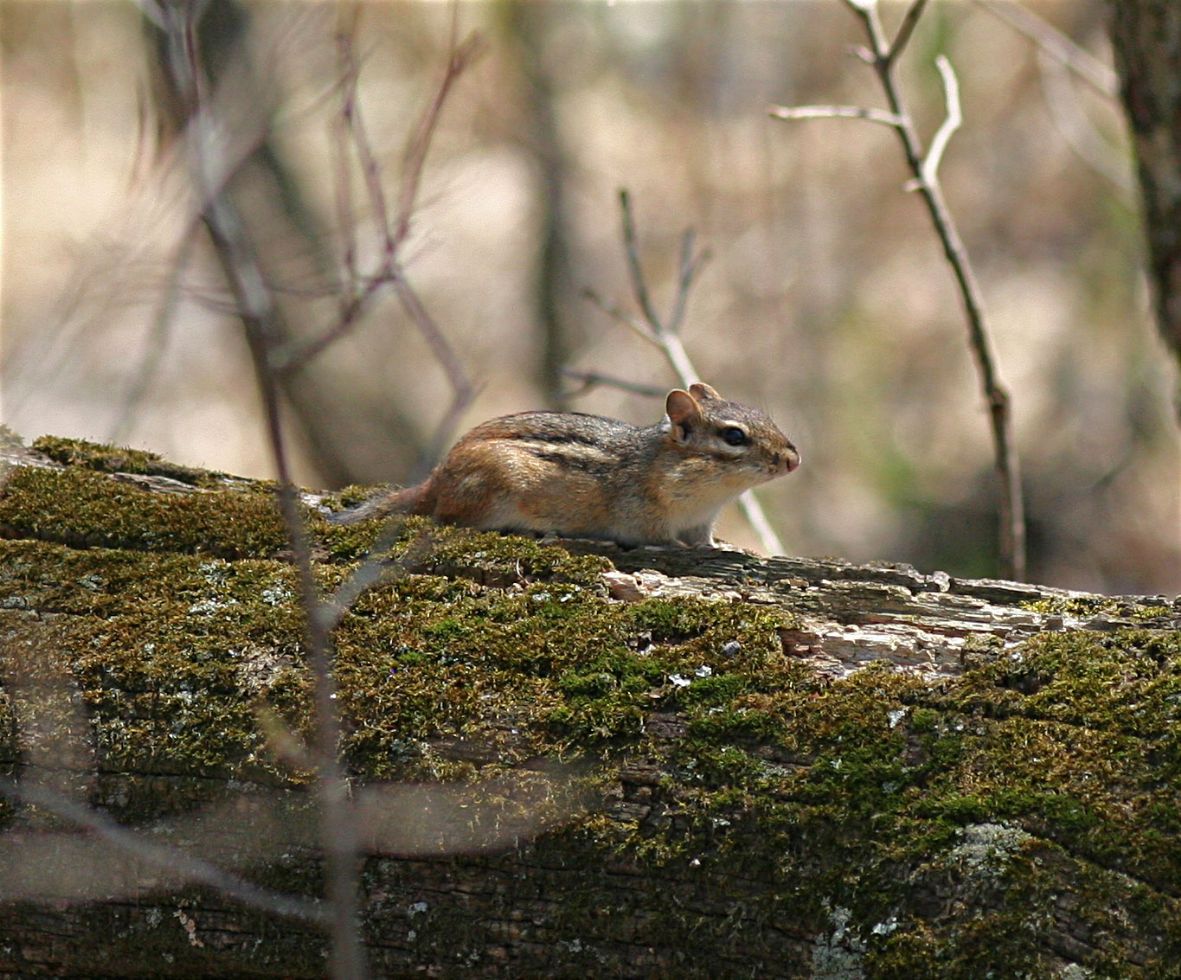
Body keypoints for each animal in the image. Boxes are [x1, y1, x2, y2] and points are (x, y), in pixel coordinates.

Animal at [330, 382, 799, 547]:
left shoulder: (701, 522)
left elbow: (705, 543)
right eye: (734, 437)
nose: (793, 459)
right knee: (450, 519)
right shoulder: (648, 518)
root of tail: (437, 479)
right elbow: (664, 542)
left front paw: (728, 548)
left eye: (762, 413)